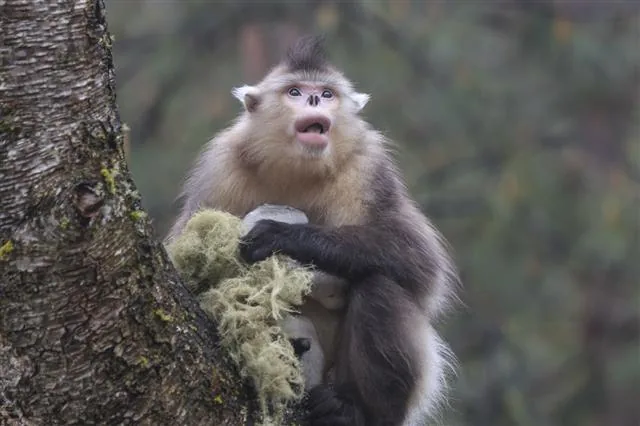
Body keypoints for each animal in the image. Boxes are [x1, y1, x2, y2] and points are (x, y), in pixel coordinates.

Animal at [167, 35, 458, 426]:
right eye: (295, 92)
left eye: (326, 92)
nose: (315, 100)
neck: (296, 168)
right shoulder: (220, 167)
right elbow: (189, 269)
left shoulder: (369, 166)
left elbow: (421, 263)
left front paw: (282, 237)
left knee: (378, 286)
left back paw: (352, 409)